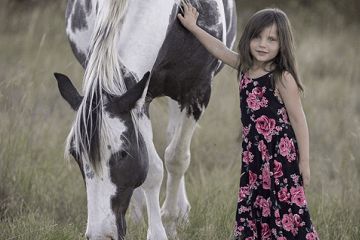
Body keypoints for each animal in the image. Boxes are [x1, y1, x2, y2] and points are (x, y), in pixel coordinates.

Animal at [54, 0, 236, 240]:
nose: (100, 235)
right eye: (76, 155)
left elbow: (177, 158)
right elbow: (152, 168)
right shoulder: (141, 97)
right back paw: (139, 211)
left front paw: (169, 221)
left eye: (122, 153)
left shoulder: (197, 91)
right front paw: (156, 227)